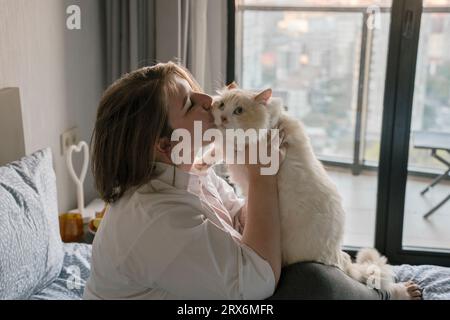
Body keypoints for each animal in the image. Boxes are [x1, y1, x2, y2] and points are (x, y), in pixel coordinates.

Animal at [204, 83, 422, 300]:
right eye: (221, 105)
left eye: (239, 111)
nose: (223, 118)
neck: (271, 125)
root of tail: (336, 254)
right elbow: (215, 149)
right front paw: (200, 166)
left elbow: (221, 147)